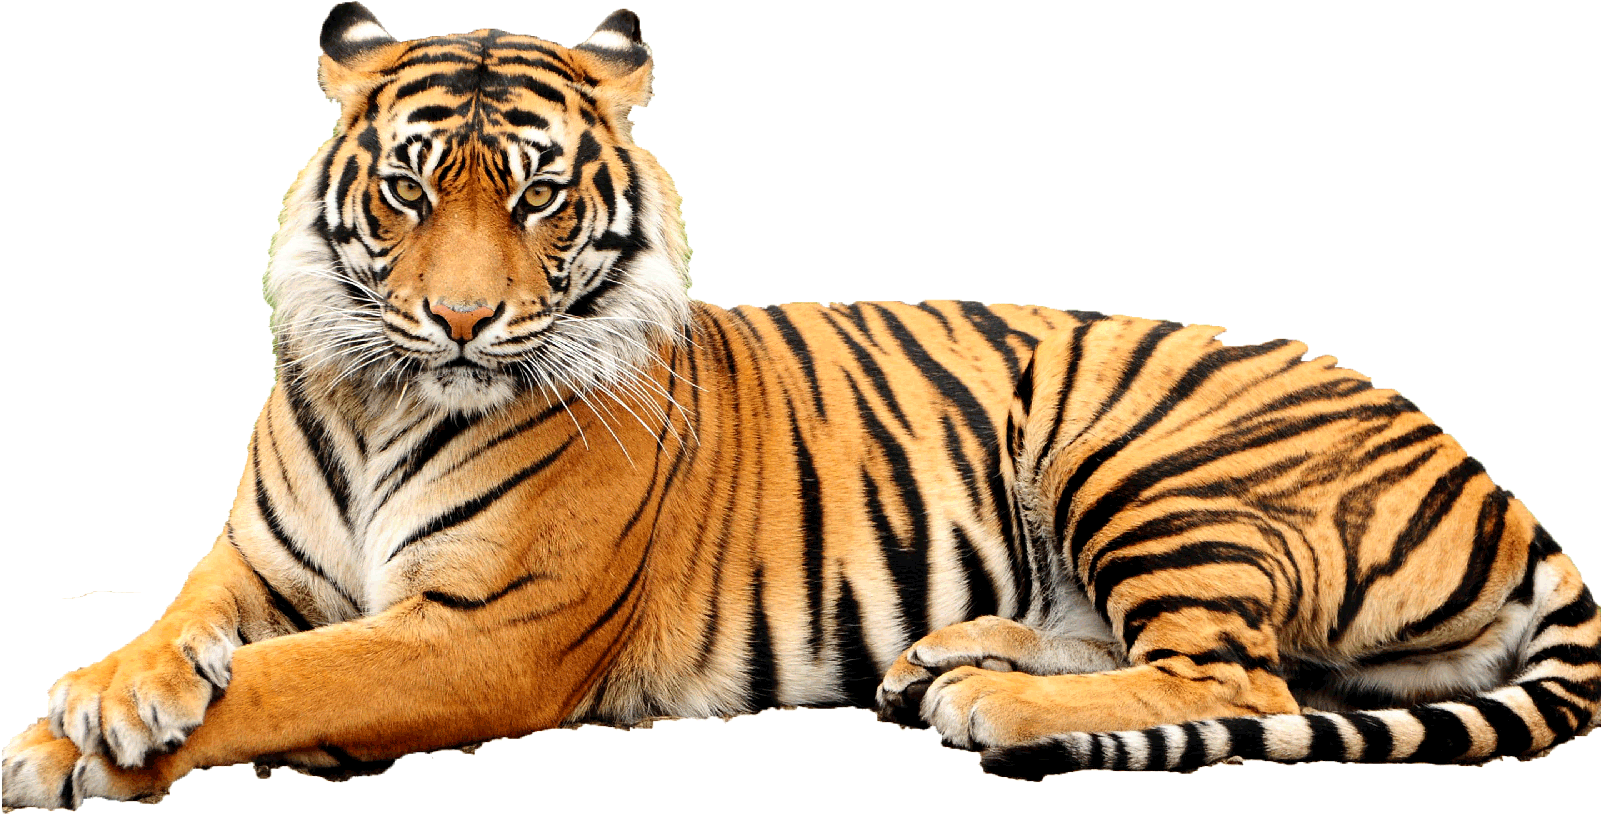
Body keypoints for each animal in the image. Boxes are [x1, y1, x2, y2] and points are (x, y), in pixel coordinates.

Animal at [2, 3, 1596, 808]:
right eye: (407, 187)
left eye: (533, 195)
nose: (460, 320)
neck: (388, 394)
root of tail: (1489, 476)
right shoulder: (255, 565)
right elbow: (184, 627)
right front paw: (104, 695)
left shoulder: (482, 632)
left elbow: (289, 680)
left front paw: (83, 743)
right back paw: (946, 659)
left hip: (1144, 452)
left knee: (1242, 680)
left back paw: (993, 701)